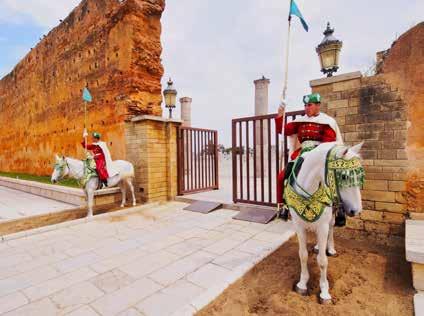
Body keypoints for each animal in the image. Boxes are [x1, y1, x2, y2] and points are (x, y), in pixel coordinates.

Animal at [288, 143, 364, 304]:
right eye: (344, 176)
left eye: (360, 176)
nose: (356, 210)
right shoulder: (298, 225)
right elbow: (303, 255)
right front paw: (302, 284)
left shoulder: (322, 226)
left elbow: (322, 261)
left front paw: (324, 291)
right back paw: (318, 246)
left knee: (331, 228)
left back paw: (331, 248)